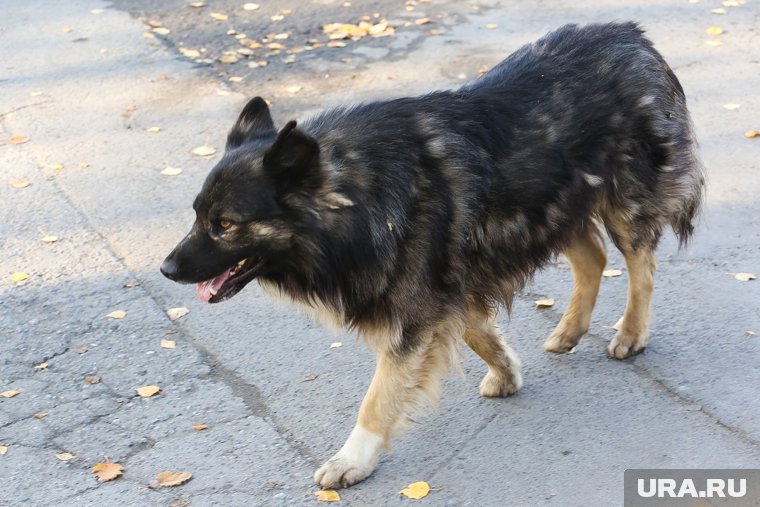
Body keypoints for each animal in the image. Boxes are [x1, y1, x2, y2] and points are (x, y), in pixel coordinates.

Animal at [160, 22, 708, 488]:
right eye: (196, 215)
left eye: (226, 225)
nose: (166, 269)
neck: (358, 197)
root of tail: (631, 35)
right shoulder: (445, 285)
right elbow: (474, 330)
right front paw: (506, 372)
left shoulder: (416, 308)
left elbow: (379, 397)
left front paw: (353, 458)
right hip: (550, 206)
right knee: (592, 257)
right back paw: (570, 330)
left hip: (621, 202)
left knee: (641, 266)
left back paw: (631, 333)